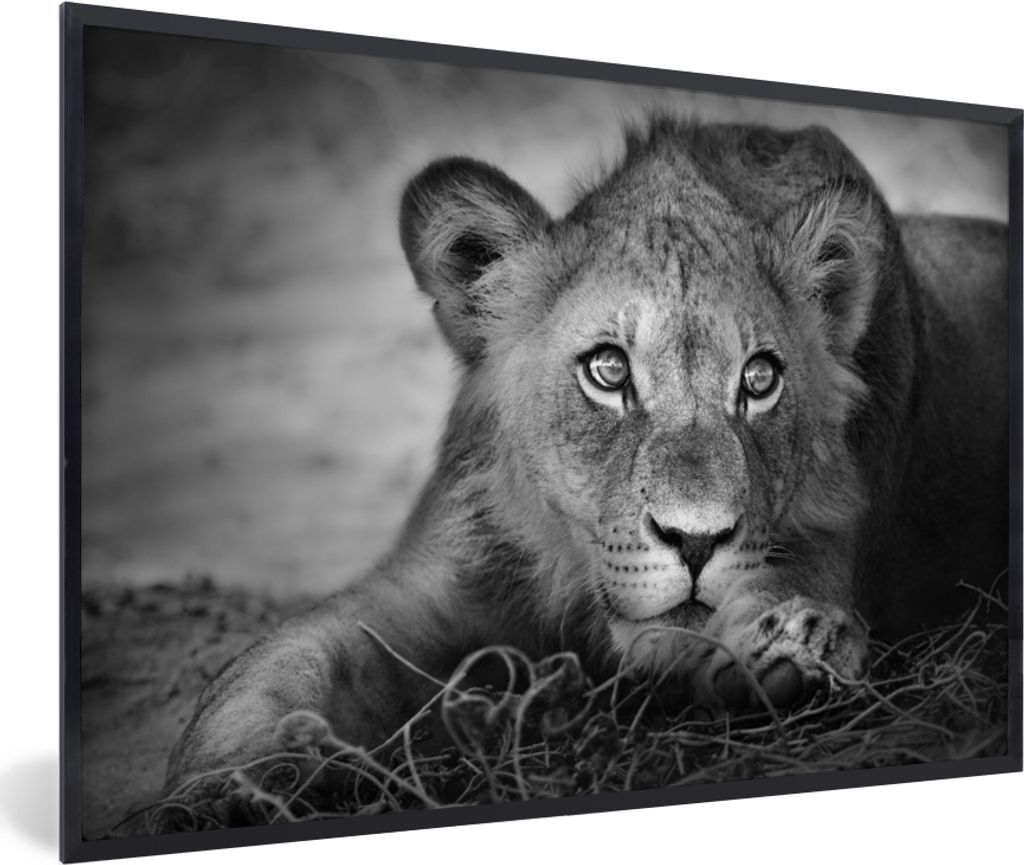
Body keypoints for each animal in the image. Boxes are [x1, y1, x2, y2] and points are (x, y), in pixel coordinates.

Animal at [164, 116, 1008, 808]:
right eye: (607, 370)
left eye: (760, 379)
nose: (696, 541)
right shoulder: (428, 582)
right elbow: (273, 669)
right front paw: (228, 789)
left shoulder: (821, 544)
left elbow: (784, 593)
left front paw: (795, 649)